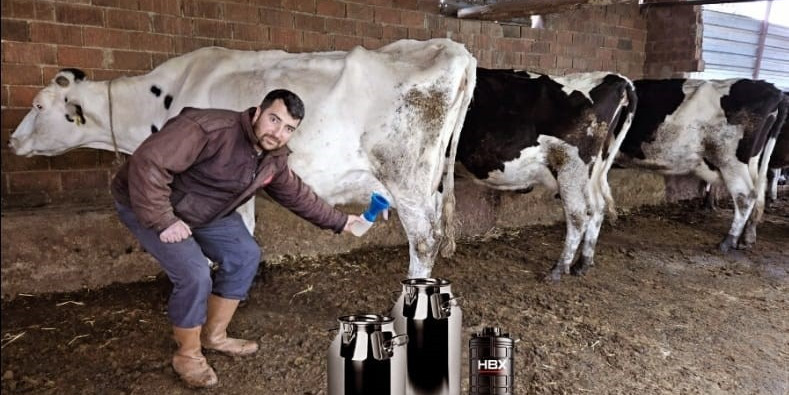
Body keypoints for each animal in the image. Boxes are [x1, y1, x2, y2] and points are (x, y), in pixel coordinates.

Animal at [9, 38, 478, 276]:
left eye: (38, 106)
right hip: (432, 181)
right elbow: (246, 231)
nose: (12, 141)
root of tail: (452, 46)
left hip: (406, 178)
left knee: (424, 239)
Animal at [456, 69, 636, 284]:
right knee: (597, 208)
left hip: (570, 168)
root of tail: (616, 78)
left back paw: (558, 270)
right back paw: (582, 264)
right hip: (592, 171)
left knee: (578, 216)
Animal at [620, 78, 784, 251]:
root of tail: (772, 89)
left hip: (730, 160)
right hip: (752, 162)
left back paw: (728, 241)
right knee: (759, 193)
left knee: (745, 195)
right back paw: (748, 238)